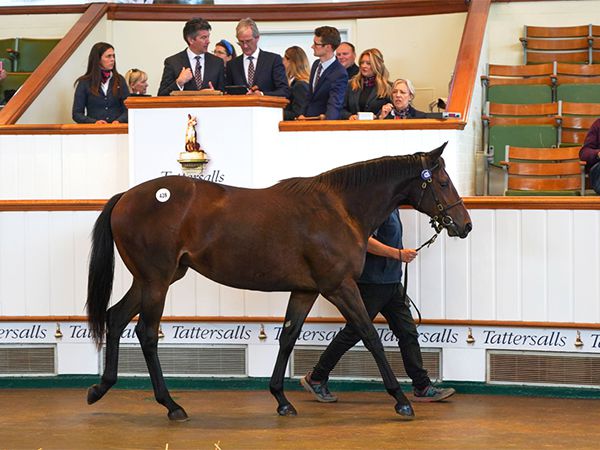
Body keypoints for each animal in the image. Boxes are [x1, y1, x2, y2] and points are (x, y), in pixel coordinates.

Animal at [85, 143, 468, 422]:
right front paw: (401, 400)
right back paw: (171, 405)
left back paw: (100, 388)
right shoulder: (339, 286)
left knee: (115, 318)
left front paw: (281, 399)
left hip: (149, 280)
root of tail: (126, 197)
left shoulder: (305, 290)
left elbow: (288, 337)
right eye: (443, 183)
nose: (465, 225)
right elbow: (369, 335)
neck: (339, 208)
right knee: (146, 334)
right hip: (157, 281)